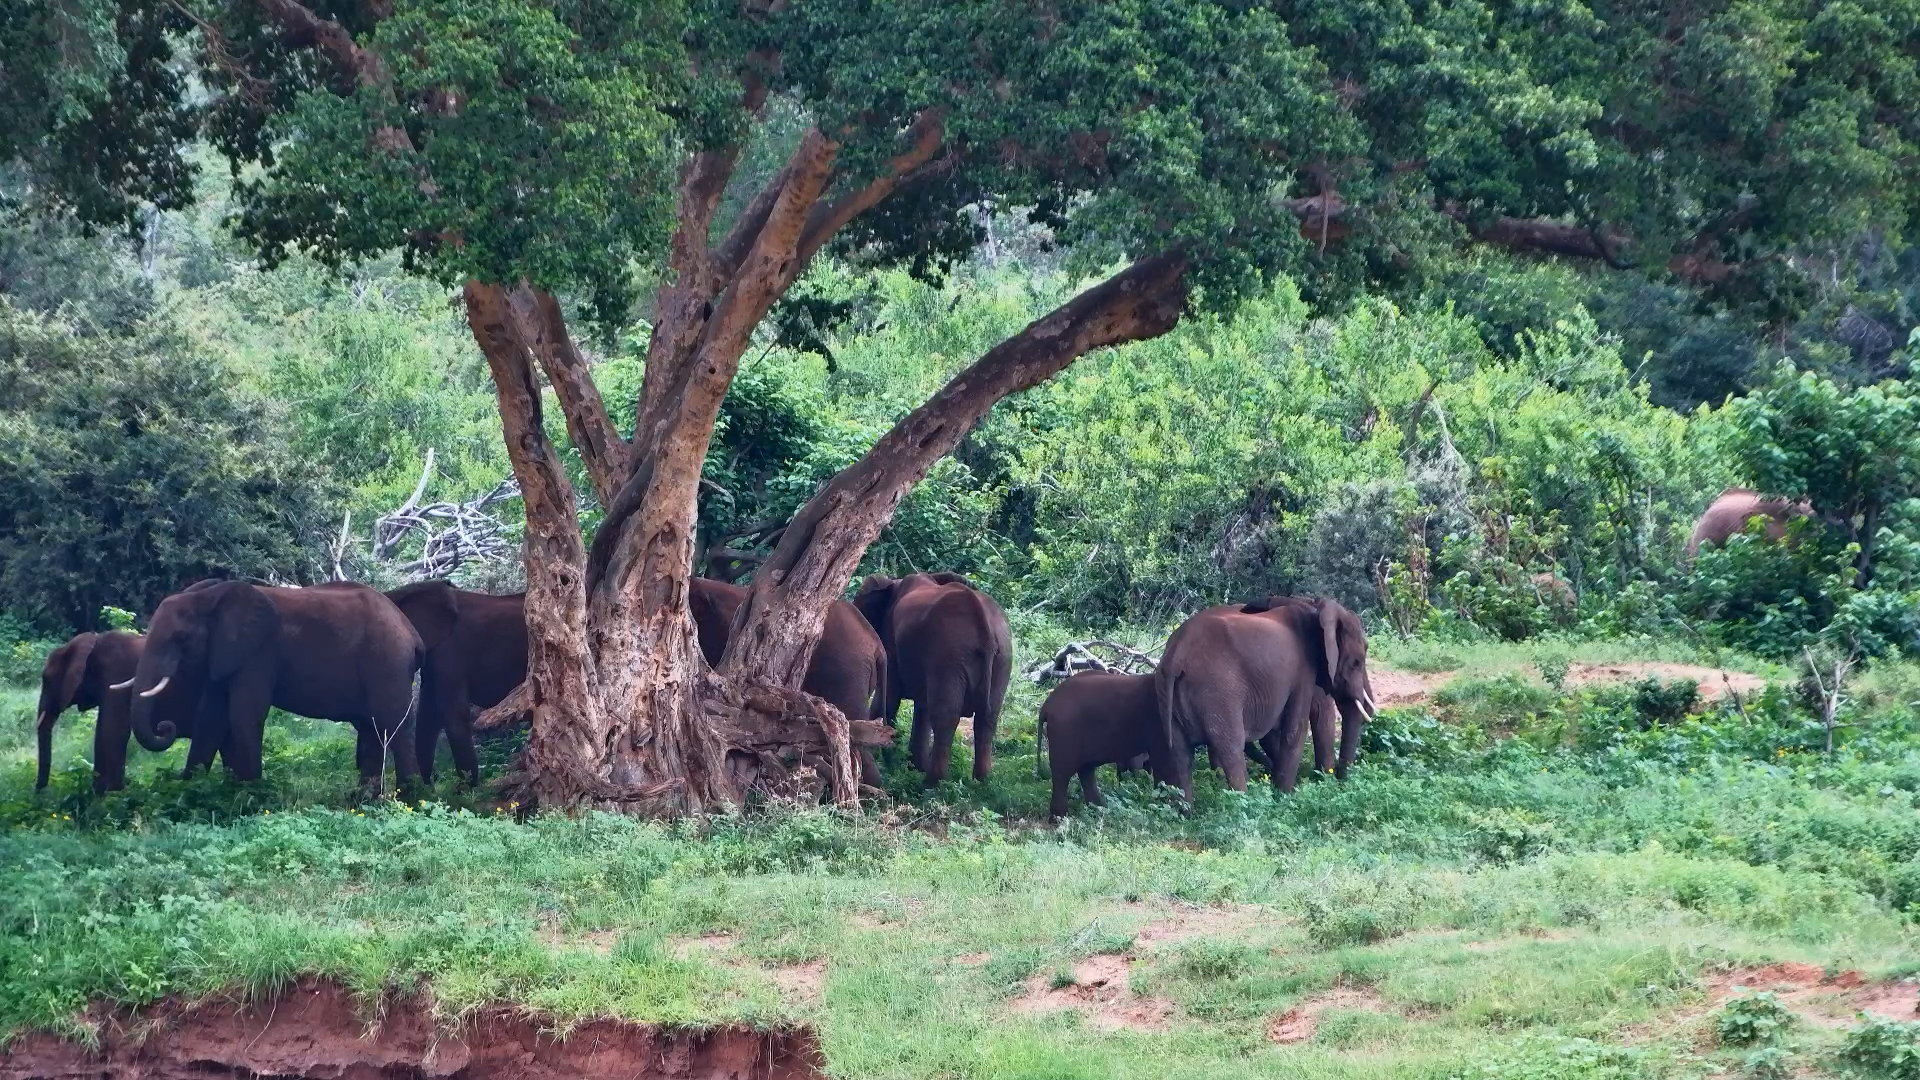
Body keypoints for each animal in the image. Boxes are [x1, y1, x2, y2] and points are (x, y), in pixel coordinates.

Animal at [34, 631, 216, 792]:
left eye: (46, 680)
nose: (40, 791)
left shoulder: (116, 676)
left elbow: (113, 730)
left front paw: (113, 795)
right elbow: (102, 732)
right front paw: (98, 794)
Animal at [127, 579, 425, 787]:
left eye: (180, 638)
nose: (165, 727)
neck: (210, 597)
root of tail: (412, 633)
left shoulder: (258, 655)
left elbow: (244, 715)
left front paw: (251, 796)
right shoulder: (223, 655)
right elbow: (209, 719)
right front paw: (189, 791)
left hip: (388, 662)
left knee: (394, 725)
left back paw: (411, 797)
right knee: (374, 729)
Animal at [854, 572, 1012, 784]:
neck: (894, 582)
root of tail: (985, 627)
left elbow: (889, 699)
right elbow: (922, 707)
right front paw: (913, 766)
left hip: (948, 653)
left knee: (945, 719)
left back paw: (932, 784)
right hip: (1002, 656)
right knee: (988, 719)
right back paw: (982, 782)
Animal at [1152, 596, 1376, 799]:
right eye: (1356, 662)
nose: (1341, 782)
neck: (1315, 607)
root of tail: (1176, 658)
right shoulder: (1303, 670)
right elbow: (1297, 728)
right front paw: (1285, 796)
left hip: (1167, 693)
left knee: (1180, 755)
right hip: (1216, 692)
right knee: (1231, 748)